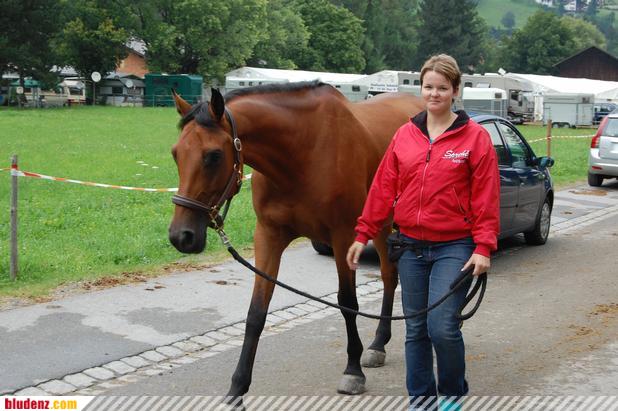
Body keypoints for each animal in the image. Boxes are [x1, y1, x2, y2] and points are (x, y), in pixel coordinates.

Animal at [168, 81, 424, 404]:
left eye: (213, 155)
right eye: (175, 153)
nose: (181, 236)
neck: (302, 153)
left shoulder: (343, 236)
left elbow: (347, 302)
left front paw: (352, 371)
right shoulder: (268, 236)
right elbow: (256, 313)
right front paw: (237, 387)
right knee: (390, 276)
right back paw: (378, 343)